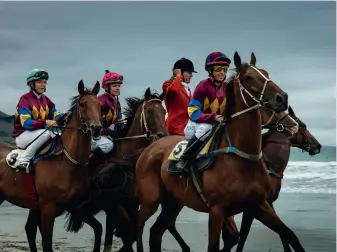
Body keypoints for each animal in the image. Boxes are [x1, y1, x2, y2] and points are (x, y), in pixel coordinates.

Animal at [0, 79, 101, 251]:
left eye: (100, 105)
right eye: (82, 104)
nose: (97, 128)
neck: (67, 162)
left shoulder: (73, 205)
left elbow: (98, 228)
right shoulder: (47, 208)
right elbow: (47, 242)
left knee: (29, 229)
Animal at [61, 87, 167, 252]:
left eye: (163, 111)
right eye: (149, 111)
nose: (163, 135)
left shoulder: (132, 205)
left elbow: (129, 234)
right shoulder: (112, 206)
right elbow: (122, 233)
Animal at [134, 51, 308, 252]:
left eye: (266, 73)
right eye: (249, 77)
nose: (282, 98)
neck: (241, 157)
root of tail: (151, 147)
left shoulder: (259, 204)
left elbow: (289, 235)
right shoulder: (217, 210)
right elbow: (216, 245)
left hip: (173, 201)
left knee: (156, 232)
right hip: (151, 198)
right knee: (138, 224)